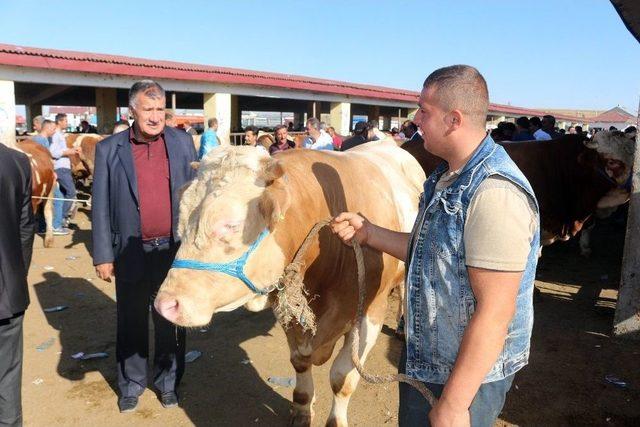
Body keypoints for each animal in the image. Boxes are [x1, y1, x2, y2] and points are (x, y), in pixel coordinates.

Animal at [154, 142, 424, 426]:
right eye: (182, 221)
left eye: (231, 224)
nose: (165, 305)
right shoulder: (289, 315)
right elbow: (299, 363)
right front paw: (303, 410)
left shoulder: (370, 312)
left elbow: (342, 378)